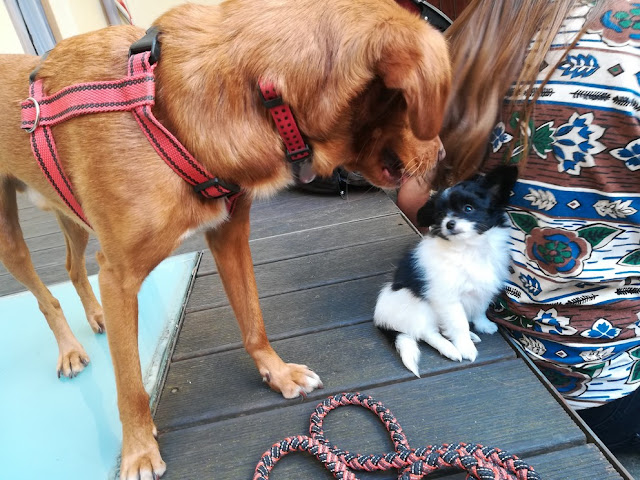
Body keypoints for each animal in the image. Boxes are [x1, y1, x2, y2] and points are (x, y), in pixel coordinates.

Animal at [0, 0, 450, 477]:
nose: (443, 155)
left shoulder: (229, 233)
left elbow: (253, 320)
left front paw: (277, 373)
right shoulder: (119, 276)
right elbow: (129, 385)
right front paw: (138, 448)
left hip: (71, 216)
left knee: (71, 267)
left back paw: (95, 316)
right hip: (11, 239)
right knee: (46, 295)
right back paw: (69, 349)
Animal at [373, 165, 517, 376]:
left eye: (468, 208)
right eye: (440, 214)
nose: (449, 224)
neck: (468, 249)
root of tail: (380, 319)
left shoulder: (483, 289)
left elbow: (480, 310)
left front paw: (483, 326)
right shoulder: (448, 299)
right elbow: (459, 323)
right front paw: (465, 348)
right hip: (420, 309)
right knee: (428, 333)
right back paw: (450, 349)